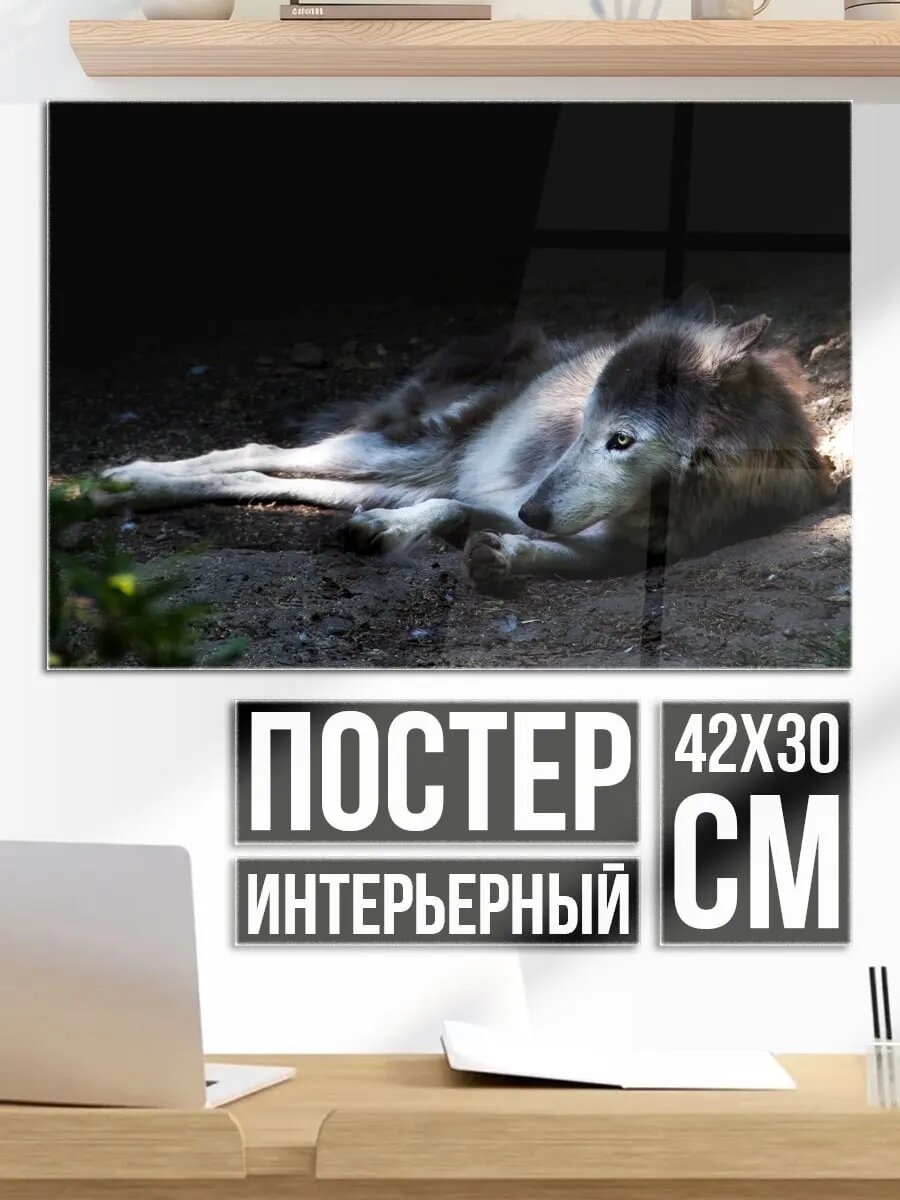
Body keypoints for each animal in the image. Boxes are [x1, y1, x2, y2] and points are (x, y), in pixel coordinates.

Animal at [97, 289, 831, 590]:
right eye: (583, 428)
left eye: (621, 440)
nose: (534, 511)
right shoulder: (507, 494)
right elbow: (456, 512)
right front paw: (403, 536)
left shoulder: (635, 548)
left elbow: (573, 554)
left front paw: (500, 556)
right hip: (404, 452)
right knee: (257, 454)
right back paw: (117, 482)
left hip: (398, 473)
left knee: (267, 477)